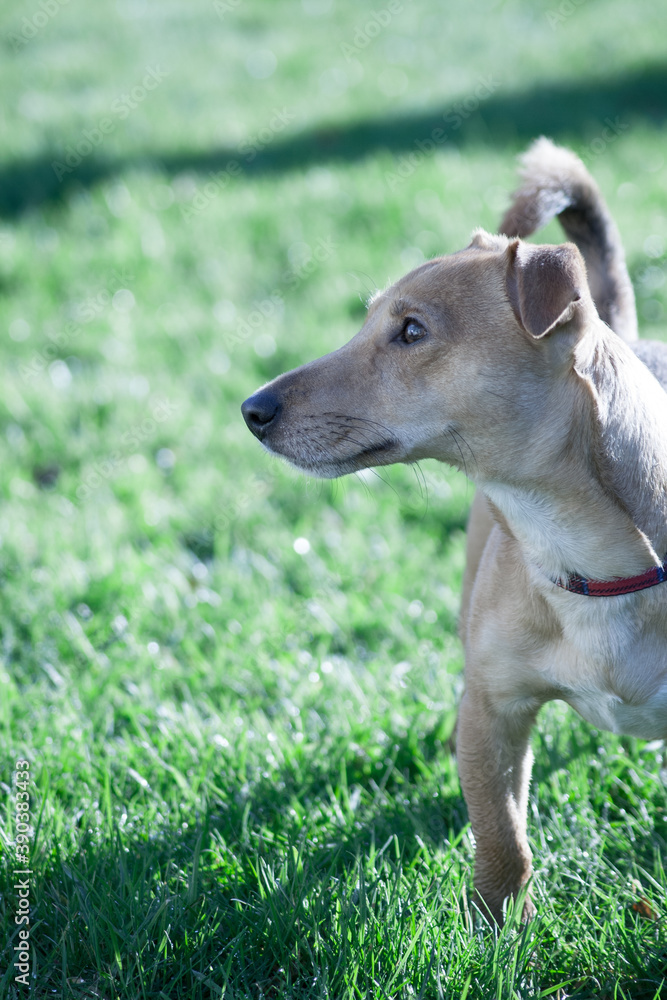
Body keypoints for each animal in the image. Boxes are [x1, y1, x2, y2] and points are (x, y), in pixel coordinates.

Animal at [241, 139, 667, 920]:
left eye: (412, 332)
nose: (252, 410)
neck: (584, 562)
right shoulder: (492, 710)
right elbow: (503, 838)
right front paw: (498, 929)